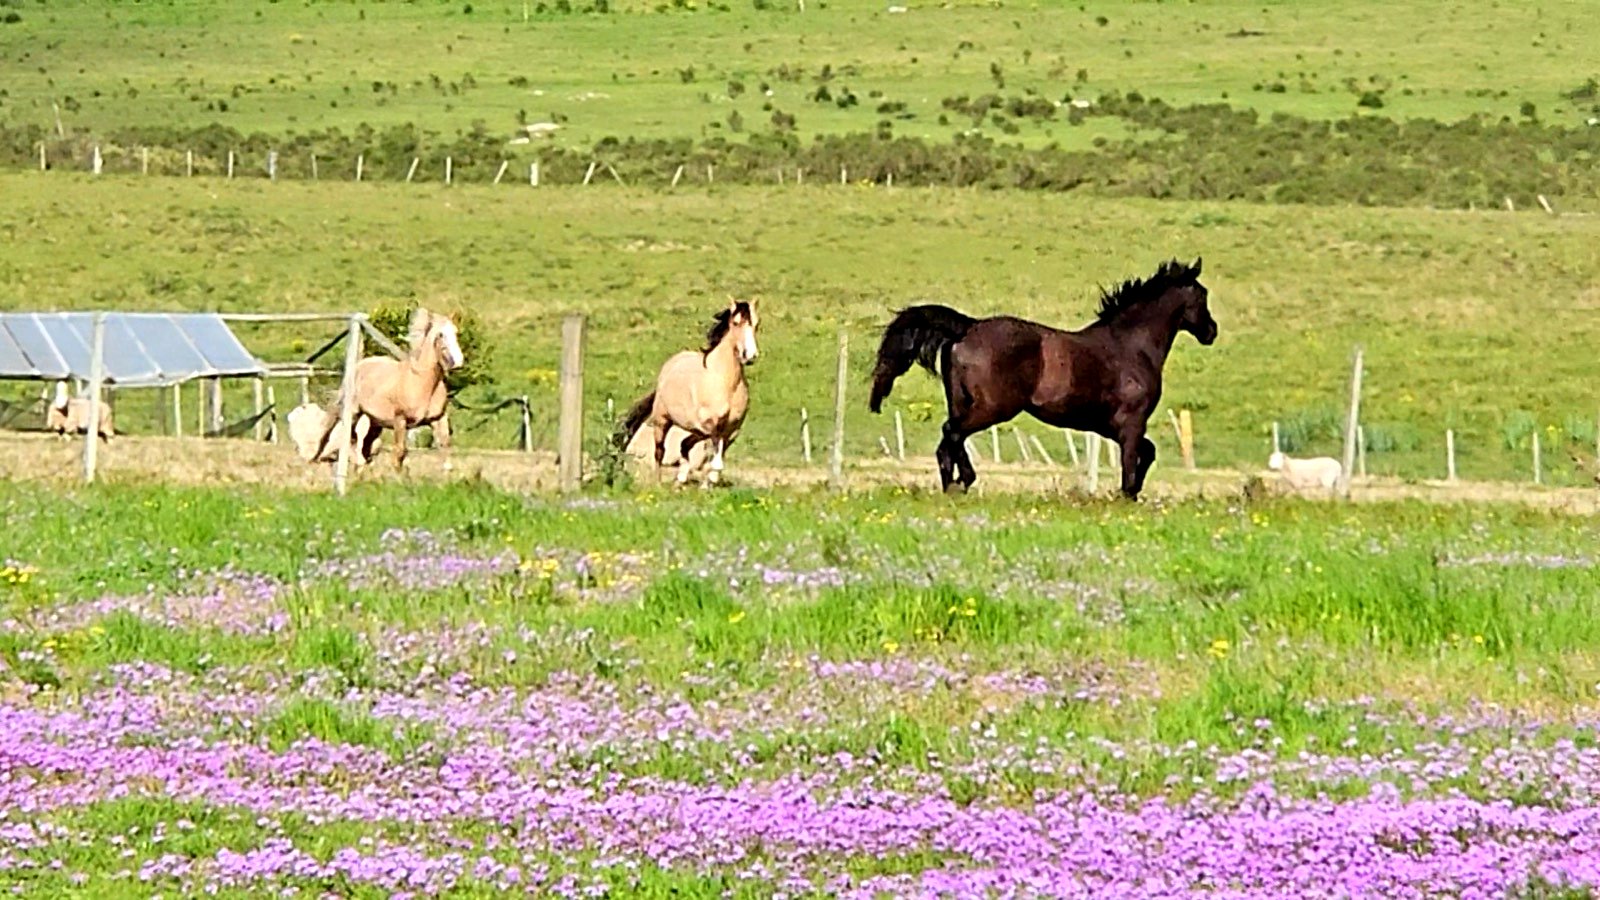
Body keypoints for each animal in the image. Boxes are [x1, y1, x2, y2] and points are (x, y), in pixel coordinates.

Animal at [314, 307, 464, 471]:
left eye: (456, 332)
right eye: (440, 334)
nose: (458, 362)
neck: (422, 384)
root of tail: (360, 364)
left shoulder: (438, 419)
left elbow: (445, 450)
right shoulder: (400, 420)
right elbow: (400, 452)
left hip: (375, 422)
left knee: (364, 446)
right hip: (352, 412)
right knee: (340, 435)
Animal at [614, 299, 760, 486]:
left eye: (756, 324)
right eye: (735, 323)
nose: (750, 356)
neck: (725, 382)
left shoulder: (732, 429)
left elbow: (715, 452)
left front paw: (708, 482)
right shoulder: (708, 425)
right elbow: (714, 451)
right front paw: (710, 477)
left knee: (685, 444)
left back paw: (682, 477)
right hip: (662, 420)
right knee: (660, 451)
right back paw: (659, 482)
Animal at [868, 257, 1216, 500]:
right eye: (1202, 295)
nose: (1211, 331)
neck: (1131, 345)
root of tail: (968, 326)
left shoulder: (1112, 427)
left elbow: (1148, 452)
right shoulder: (1131, 423)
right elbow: (1132, 462)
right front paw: (1128, 495)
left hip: (962, 402)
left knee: (948, 442)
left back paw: (952, 486)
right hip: (994, 407)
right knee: (952, 434)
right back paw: (964, 481)